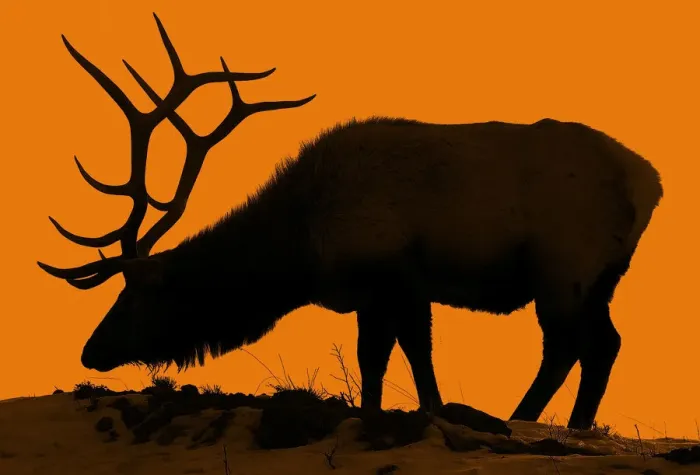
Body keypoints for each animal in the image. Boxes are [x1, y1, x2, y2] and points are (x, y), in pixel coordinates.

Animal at [38, 13, 663, 432]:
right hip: (601, 275)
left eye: (136, 294)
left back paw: (526, 418)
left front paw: (428, 412)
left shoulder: (395, 273)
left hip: (564, 265)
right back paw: (567, 423)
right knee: (602, 344)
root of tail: (650, 183)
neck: (302, 249)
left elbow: (408, 353)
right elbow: (382, 357)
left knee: (569, 345)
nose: (90, 350)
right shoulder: (377, 291)